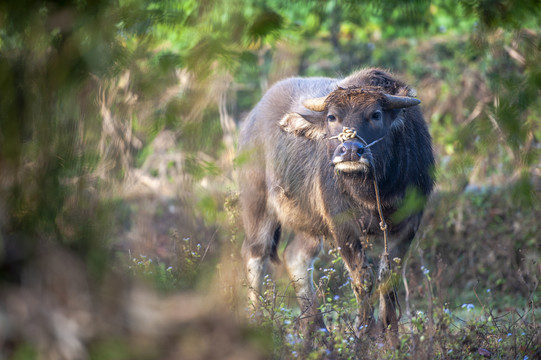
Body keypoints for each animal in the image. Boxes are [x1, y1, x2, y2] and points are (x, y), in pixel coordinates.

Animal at [238, 68, 432, 344]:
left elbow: (387, 278)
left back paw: (318, 333)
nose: (350, 150)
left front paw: (391, 337)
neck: (373, 193)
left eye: (376, 114)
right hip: (257, 205)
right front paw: (363, 334)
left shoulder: (407, 225)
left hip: (308, 223)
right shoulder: (343, 226)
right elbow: (363, 278)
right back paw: (258, 321)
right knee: (255, 254)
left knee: (295, 256)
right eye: (332, 117)